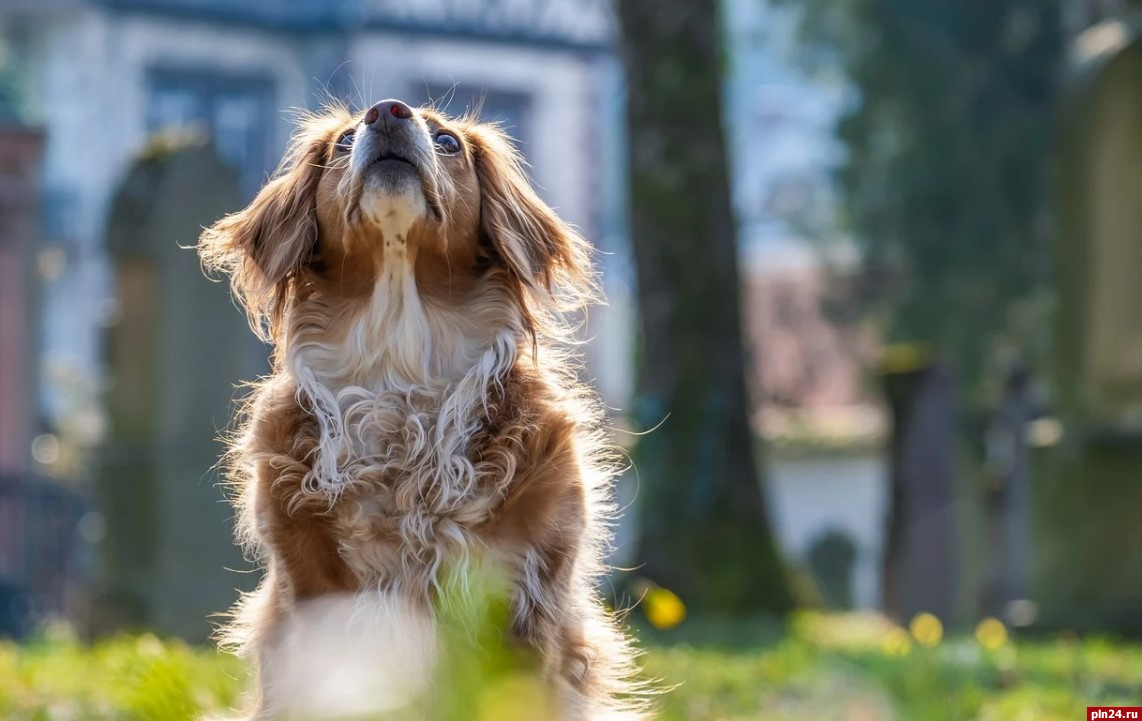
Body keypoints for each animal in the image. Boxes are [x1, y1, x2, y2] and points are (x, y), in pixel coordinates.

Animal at [194, 97, 644, 721]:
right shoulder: (311, 599)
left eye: (448, 141)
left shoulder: (526, 604)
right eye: (342, 142)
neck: (400, 362)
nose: (386, 111)